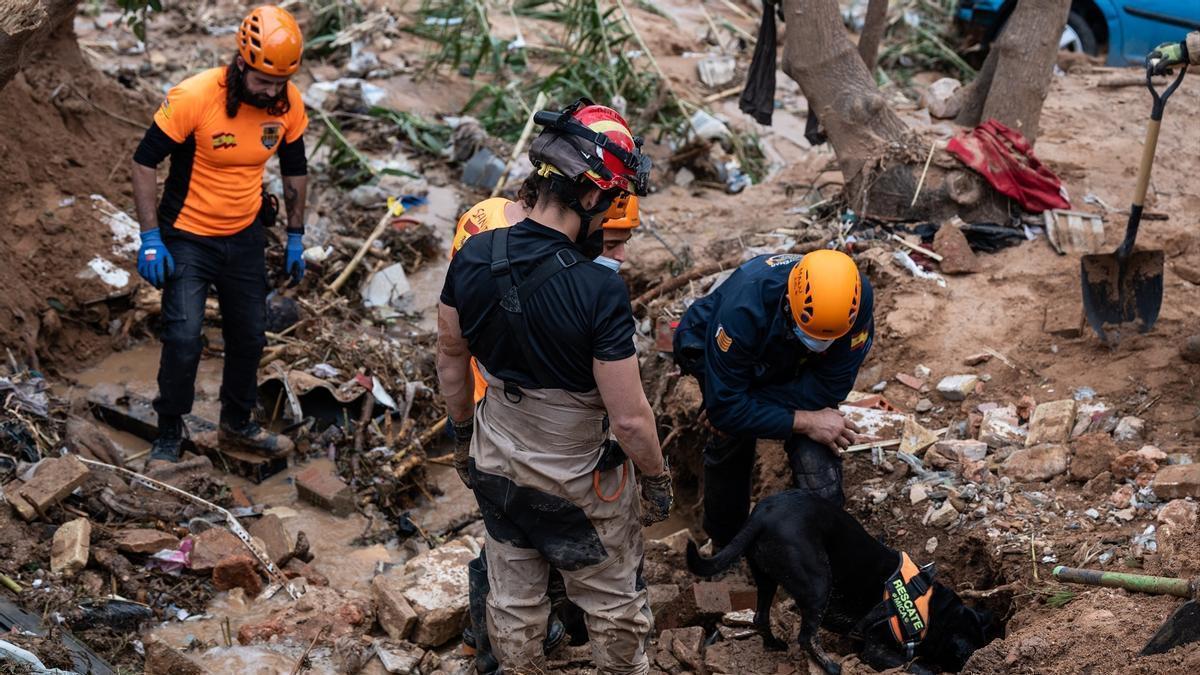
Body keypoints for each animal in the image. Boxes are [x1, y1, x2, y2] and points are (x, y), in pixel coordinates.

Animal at [686, 487, 993, 672]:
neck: (928, 608)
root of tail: (760, 515)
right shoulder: (875, 648)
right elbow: (916, 666)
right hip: (819, 581)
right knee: (806, 636)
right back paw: (831, 667)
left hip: (766, 578)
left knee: (760, 617)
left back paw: (774, 645)